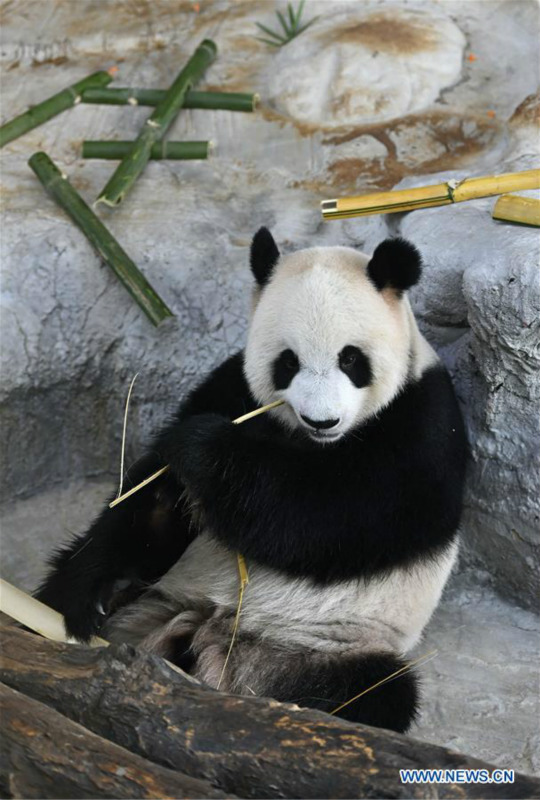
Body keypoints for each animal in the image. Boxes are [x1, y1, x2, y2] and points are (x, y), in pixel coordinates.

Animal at [38, 228, 468, 736]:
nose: (322, 420)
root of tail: (206, 632)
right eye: (288, 362)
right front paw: (91, 594)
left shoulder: (422, 423)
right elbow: (151, 504)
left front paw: (202, 447)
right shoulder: (232, 386)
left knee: (373, 693)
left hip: (323, 643)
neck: (311, 442)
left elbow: (330, 516)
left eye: (351, 359)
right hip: (162, 598)